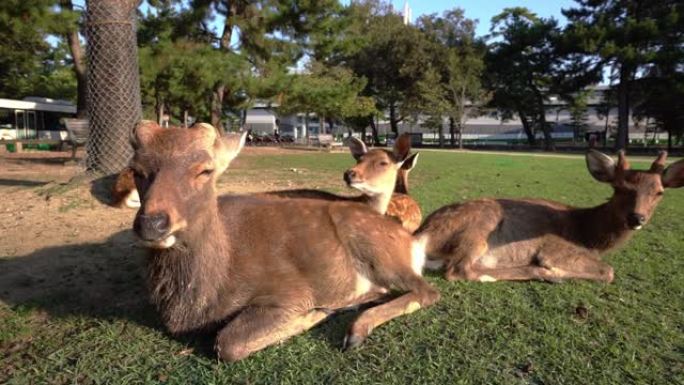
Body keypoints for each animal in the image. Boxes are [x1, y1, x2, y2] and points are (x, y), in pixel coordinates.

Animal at [414, 150, 684, 282]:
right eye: (618, 188)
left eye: (659, 192)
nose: (636, 218)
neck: (587, 235)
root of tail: (422, 234)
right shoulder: (555, 247)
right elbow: (608, 272)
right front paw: (554, 270)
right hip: (479, 229)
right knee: (459, 270)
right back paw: (538, 272)